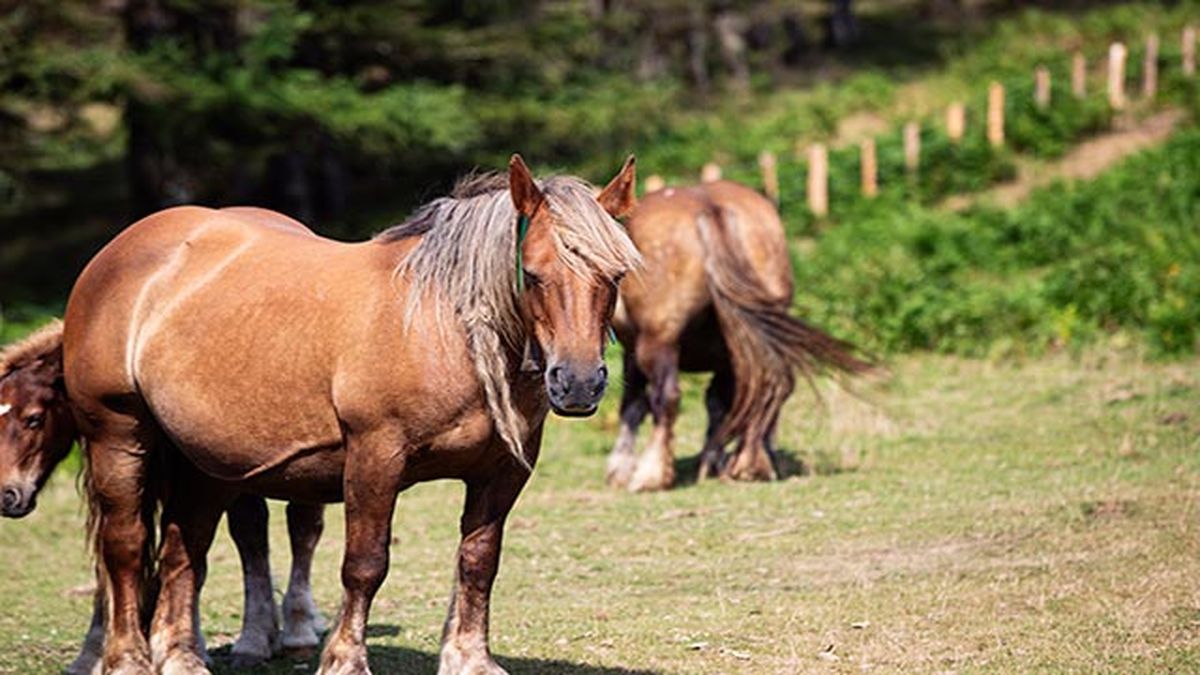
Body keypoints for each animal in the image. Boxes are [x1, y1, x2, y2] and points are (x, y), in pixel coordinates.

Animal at [62, 154, 640, 674]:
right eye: (536, 275)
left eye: (614, 276)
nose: (579, 382)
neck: (443, 329)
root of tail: (117, 252)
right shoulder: (375, 457)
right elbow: (365, 566)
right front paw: (344, 660)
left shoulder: (501, 473)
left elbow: (478, 562)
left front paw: (471, 660)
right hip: (118, 436)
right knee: (125, 548)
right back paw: (128, 659)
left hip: (205, 461)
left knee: (185, 551)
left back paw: (182, 658)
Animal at [605, 180, 871, 492]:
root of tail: (710, 208)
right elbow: (719, 405)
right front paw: (714, 460)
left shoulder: (633, 350)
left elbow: (633, 404)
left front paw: (621, 469)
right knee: (765, 388)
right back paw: (751, 463)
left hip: (658, 341)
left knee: (666, 396)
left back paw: (652, 474)